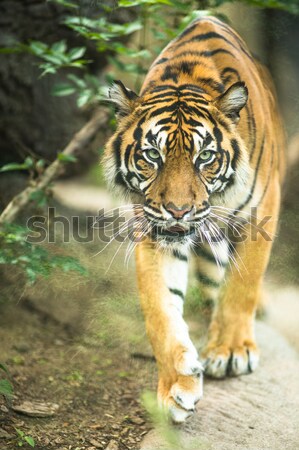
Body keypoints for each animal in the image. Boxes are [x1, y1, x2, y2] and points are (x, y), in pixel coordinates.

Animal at [103, 14, 286, 422]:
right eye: (152, 155)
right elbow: (160, 310)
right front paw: (176, 387)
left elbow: (243, 284)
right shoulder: (154, 230)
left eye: (205, 157)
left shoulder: (262, 209)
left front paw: (231, 353)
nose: (178, 210)